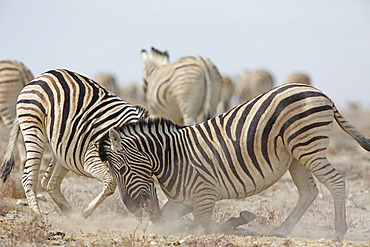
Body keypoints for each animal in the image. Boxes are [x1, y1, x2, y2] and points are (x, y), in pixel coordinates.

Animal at [0, 69, 160, 220]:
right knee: (28, 177)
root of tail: (38, 78)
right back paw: (37, 216)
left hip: (63, 148)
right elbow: (111, 183)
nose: (155, 211)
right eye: (124, 169)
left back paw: (72, 215)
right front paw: (86, 211)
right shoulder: (91, 158)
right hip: (34, 129)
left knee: (49, 182)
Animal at [98, 83, 370, 241]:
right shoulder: (182, 202)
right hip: (296, 155)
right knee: (309, 192)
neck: (172, 158)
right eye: (114, 172)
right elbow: (166, 222)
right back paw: (282, 230)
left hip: (308, 147)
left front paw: (236, 222)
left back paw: (339, 231)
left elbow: (205, 228)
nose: (133, 208)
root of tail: (322, 93)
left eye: (122, 169)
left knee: (336, 182)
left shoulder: (204, 196)